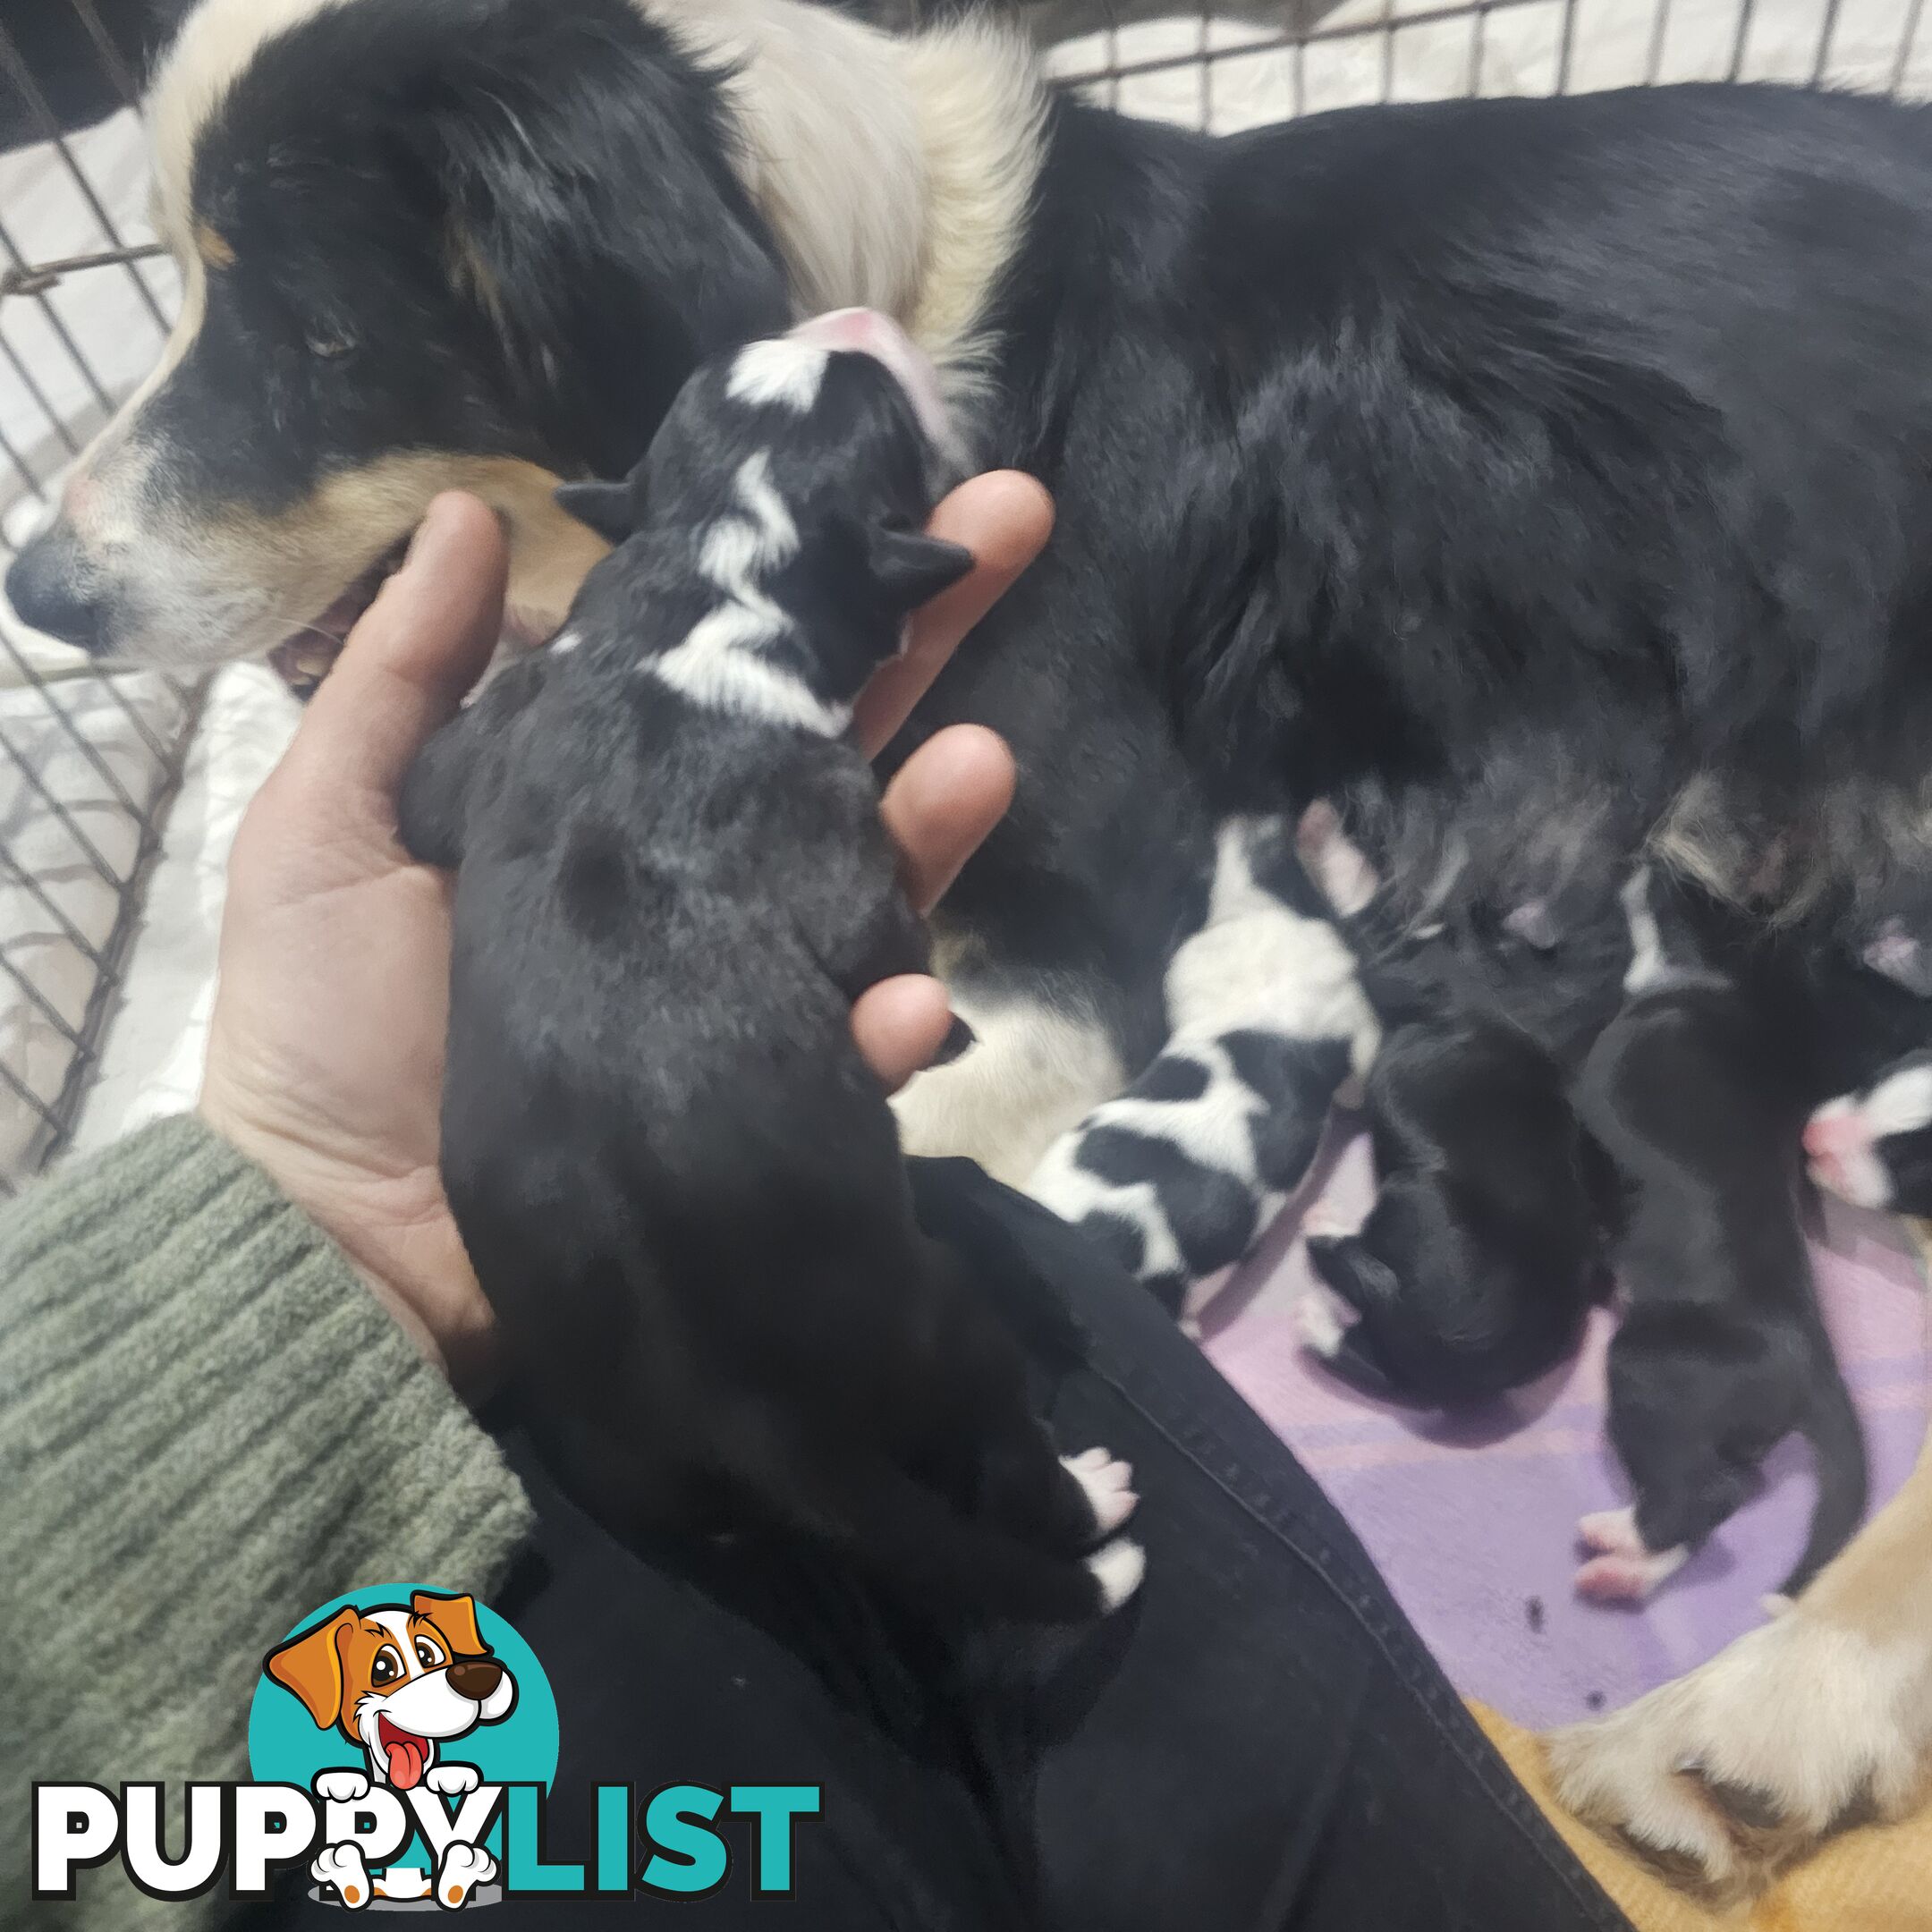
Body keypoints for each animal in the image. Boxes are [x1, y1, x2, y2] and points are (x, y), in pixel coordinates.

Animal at [397, 309, 1136, 1623]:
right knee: (1003, 1449)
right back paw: (1094, 1504)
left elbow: (424, 797)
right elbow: (883, 947)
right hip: (943, 1320)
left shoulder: (492, 729)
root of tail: (748, 1422)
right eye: (879, 413)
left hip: (611, 1456)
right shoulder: (839, 841)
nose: (849, 320)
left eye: (712, 377)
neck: (709, 582)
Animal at [1568, 873, 1869, 1599]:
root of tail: (1815, 1362)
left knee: (1704, 1497)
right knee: (1713, 1503)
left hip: (1645, 1369)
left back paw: (1617, 1542)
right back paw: (1625, 1572)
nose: (1642, 862)